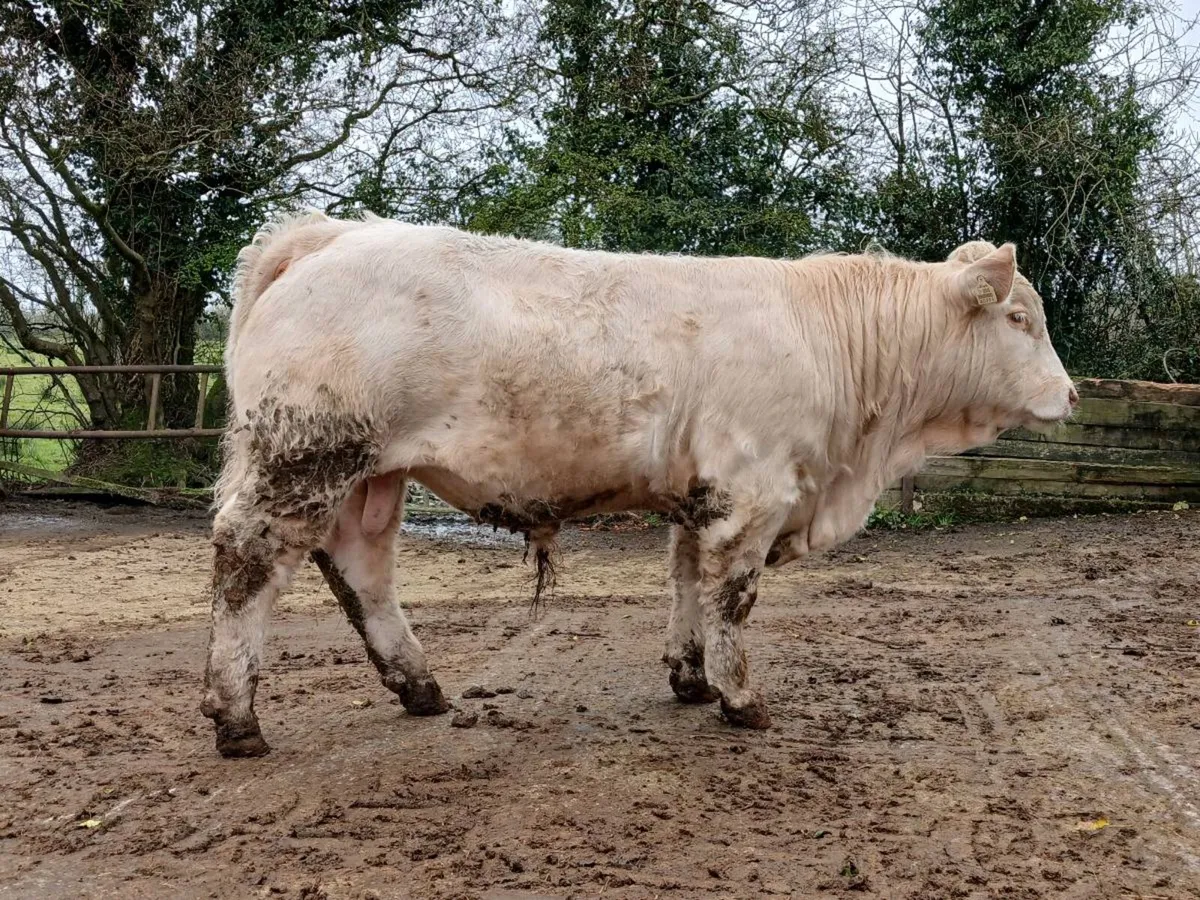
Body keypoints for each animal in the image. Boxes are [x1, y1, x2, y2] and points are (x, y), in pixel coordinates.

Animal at [201, 211, 1076, 757]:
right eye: (1020, 320)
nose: (1070, 393)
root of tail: (330, 232)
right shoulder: (754, 492)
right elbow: (733, 597)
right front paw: (741, 698)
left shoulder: (700, 496)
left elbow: (687, 581)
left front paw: (690, 678)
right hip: (305, 453)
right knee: (247, 562)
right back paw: (236, 717)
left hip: (372, 476)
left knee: (361, 567)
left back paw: (419, 686)